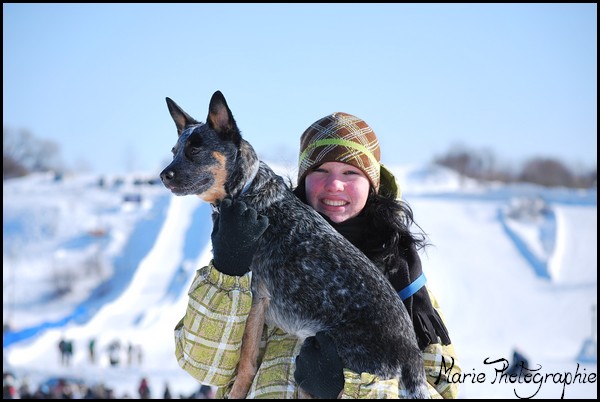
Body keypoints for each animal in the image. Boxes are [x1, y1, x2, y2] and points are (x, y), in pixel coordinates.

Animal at [162, 90, 428, 398]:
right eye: (174, 150)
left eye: (195, 150)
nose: (163, 175)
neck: (247, 194)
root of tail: (411, 354)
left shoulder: (257, 296)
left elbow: (246, 364)